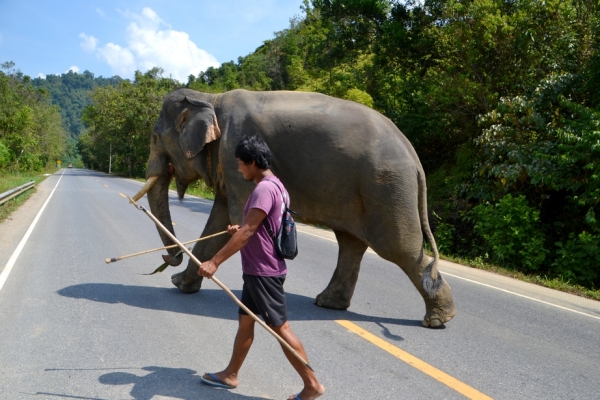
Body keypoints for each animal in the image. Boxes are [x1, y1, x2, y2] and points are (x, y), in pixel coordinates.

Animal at [132, 87, 454, 328]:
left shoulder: (235, 151)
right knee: (351, 243)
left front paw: (179, 282)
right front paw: (180, 284)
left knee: (398, 248)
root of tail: (413, 155)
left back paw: (438, 319)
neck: (210, 97)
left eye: (155, 137)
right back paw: (328, 303)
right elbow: (221, 220)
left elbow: (237, 219)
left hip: (386, 187)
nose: (168, 260)